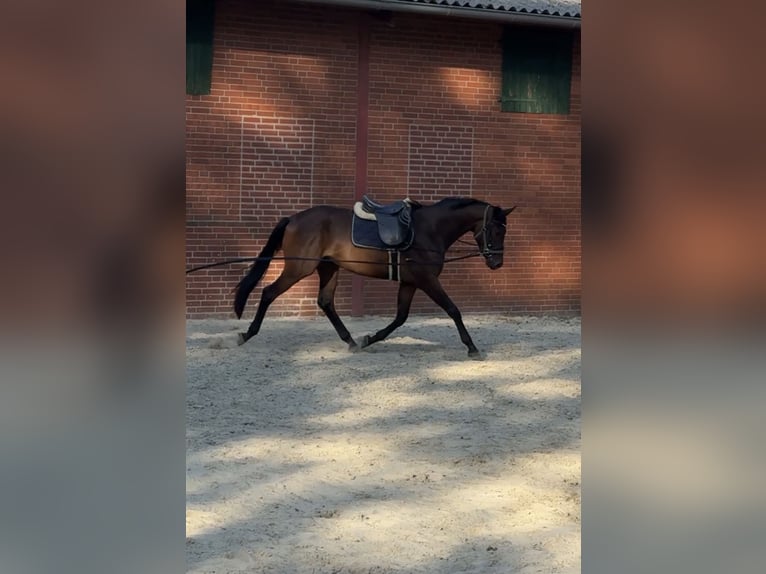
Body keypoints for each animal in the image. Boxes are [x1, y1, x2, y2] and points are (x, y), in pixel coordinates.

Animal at [234, 197, 516, 358]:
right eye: (495, 230)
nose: (497, 263)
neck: (430, 229)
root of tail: (293, 218)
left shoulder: (410, 282)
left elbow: (400, 318)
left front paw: (369, 339)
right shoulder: (427, 280)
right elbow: (453, 310)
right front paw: (472, 347)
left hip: (328, 268)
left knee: (325, 302)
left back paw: (351, 341)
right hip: (299, 268)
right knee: (269, 292)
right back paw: (247, 334)